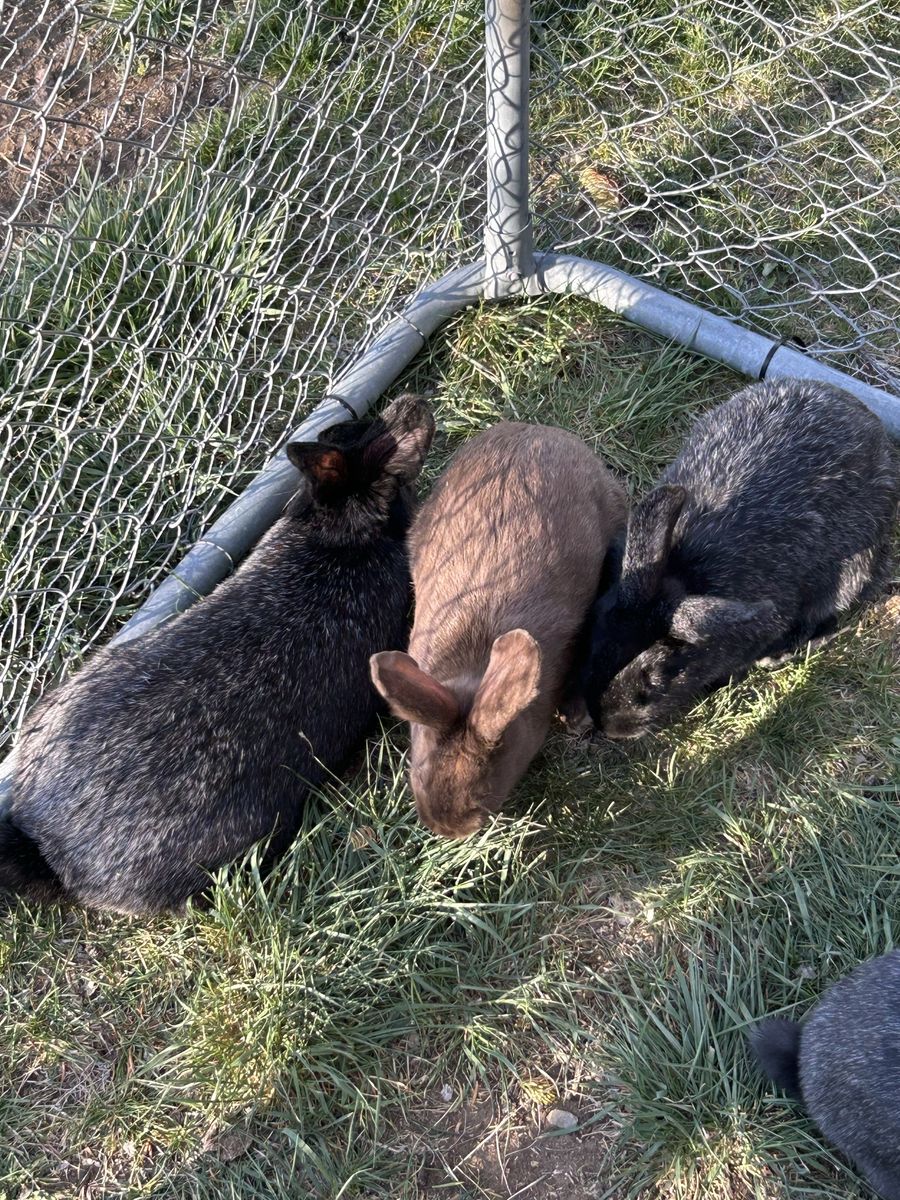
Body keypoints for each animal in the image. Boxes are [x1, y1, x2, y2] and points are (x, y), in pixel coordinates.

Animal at [369, 421, 626, 838]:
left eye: (478, 794)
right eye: (417, 775)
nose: (446, 828)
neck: (475, 668)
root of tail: (536, 430)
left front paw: (577, 719)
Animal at [582, 378, 899, 738]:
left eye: (653, 684)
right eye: (593, 633)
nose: (609, 726)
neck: (685, 573)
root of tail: (871, 421)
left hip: (853, 572)